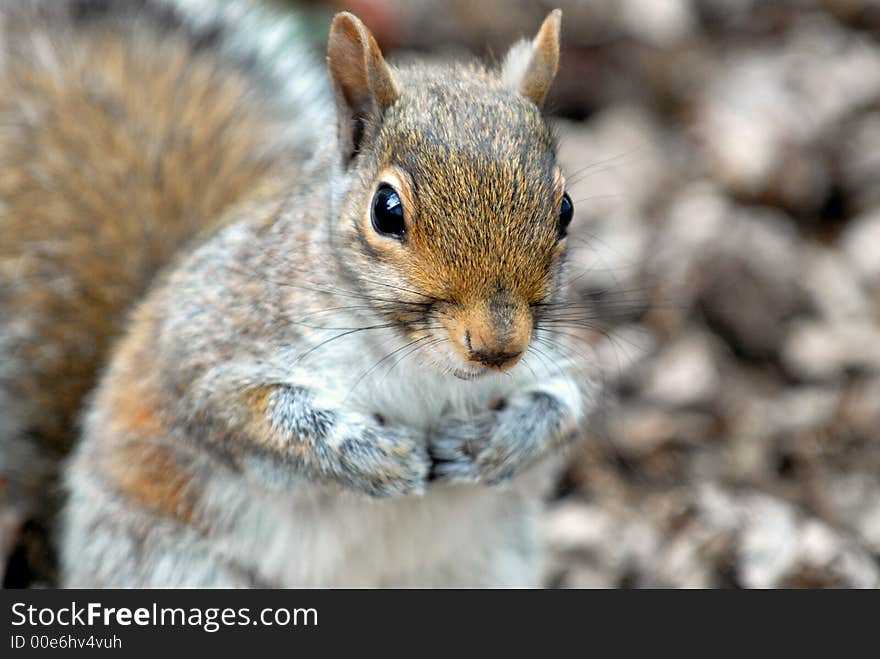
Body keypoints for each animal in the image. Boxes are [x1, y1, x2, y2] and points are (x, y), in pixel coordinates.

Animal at [1, 0, 592, 588]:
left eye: (565, 209)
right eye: (386, 210)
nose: (498, 348)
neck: (419, 364)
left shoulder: (553, 355)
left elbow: (566, 407)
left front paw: (494, 445)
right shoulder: (219, 337)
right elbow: (255, 415)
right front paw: (376, 457)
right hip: (173, 566)